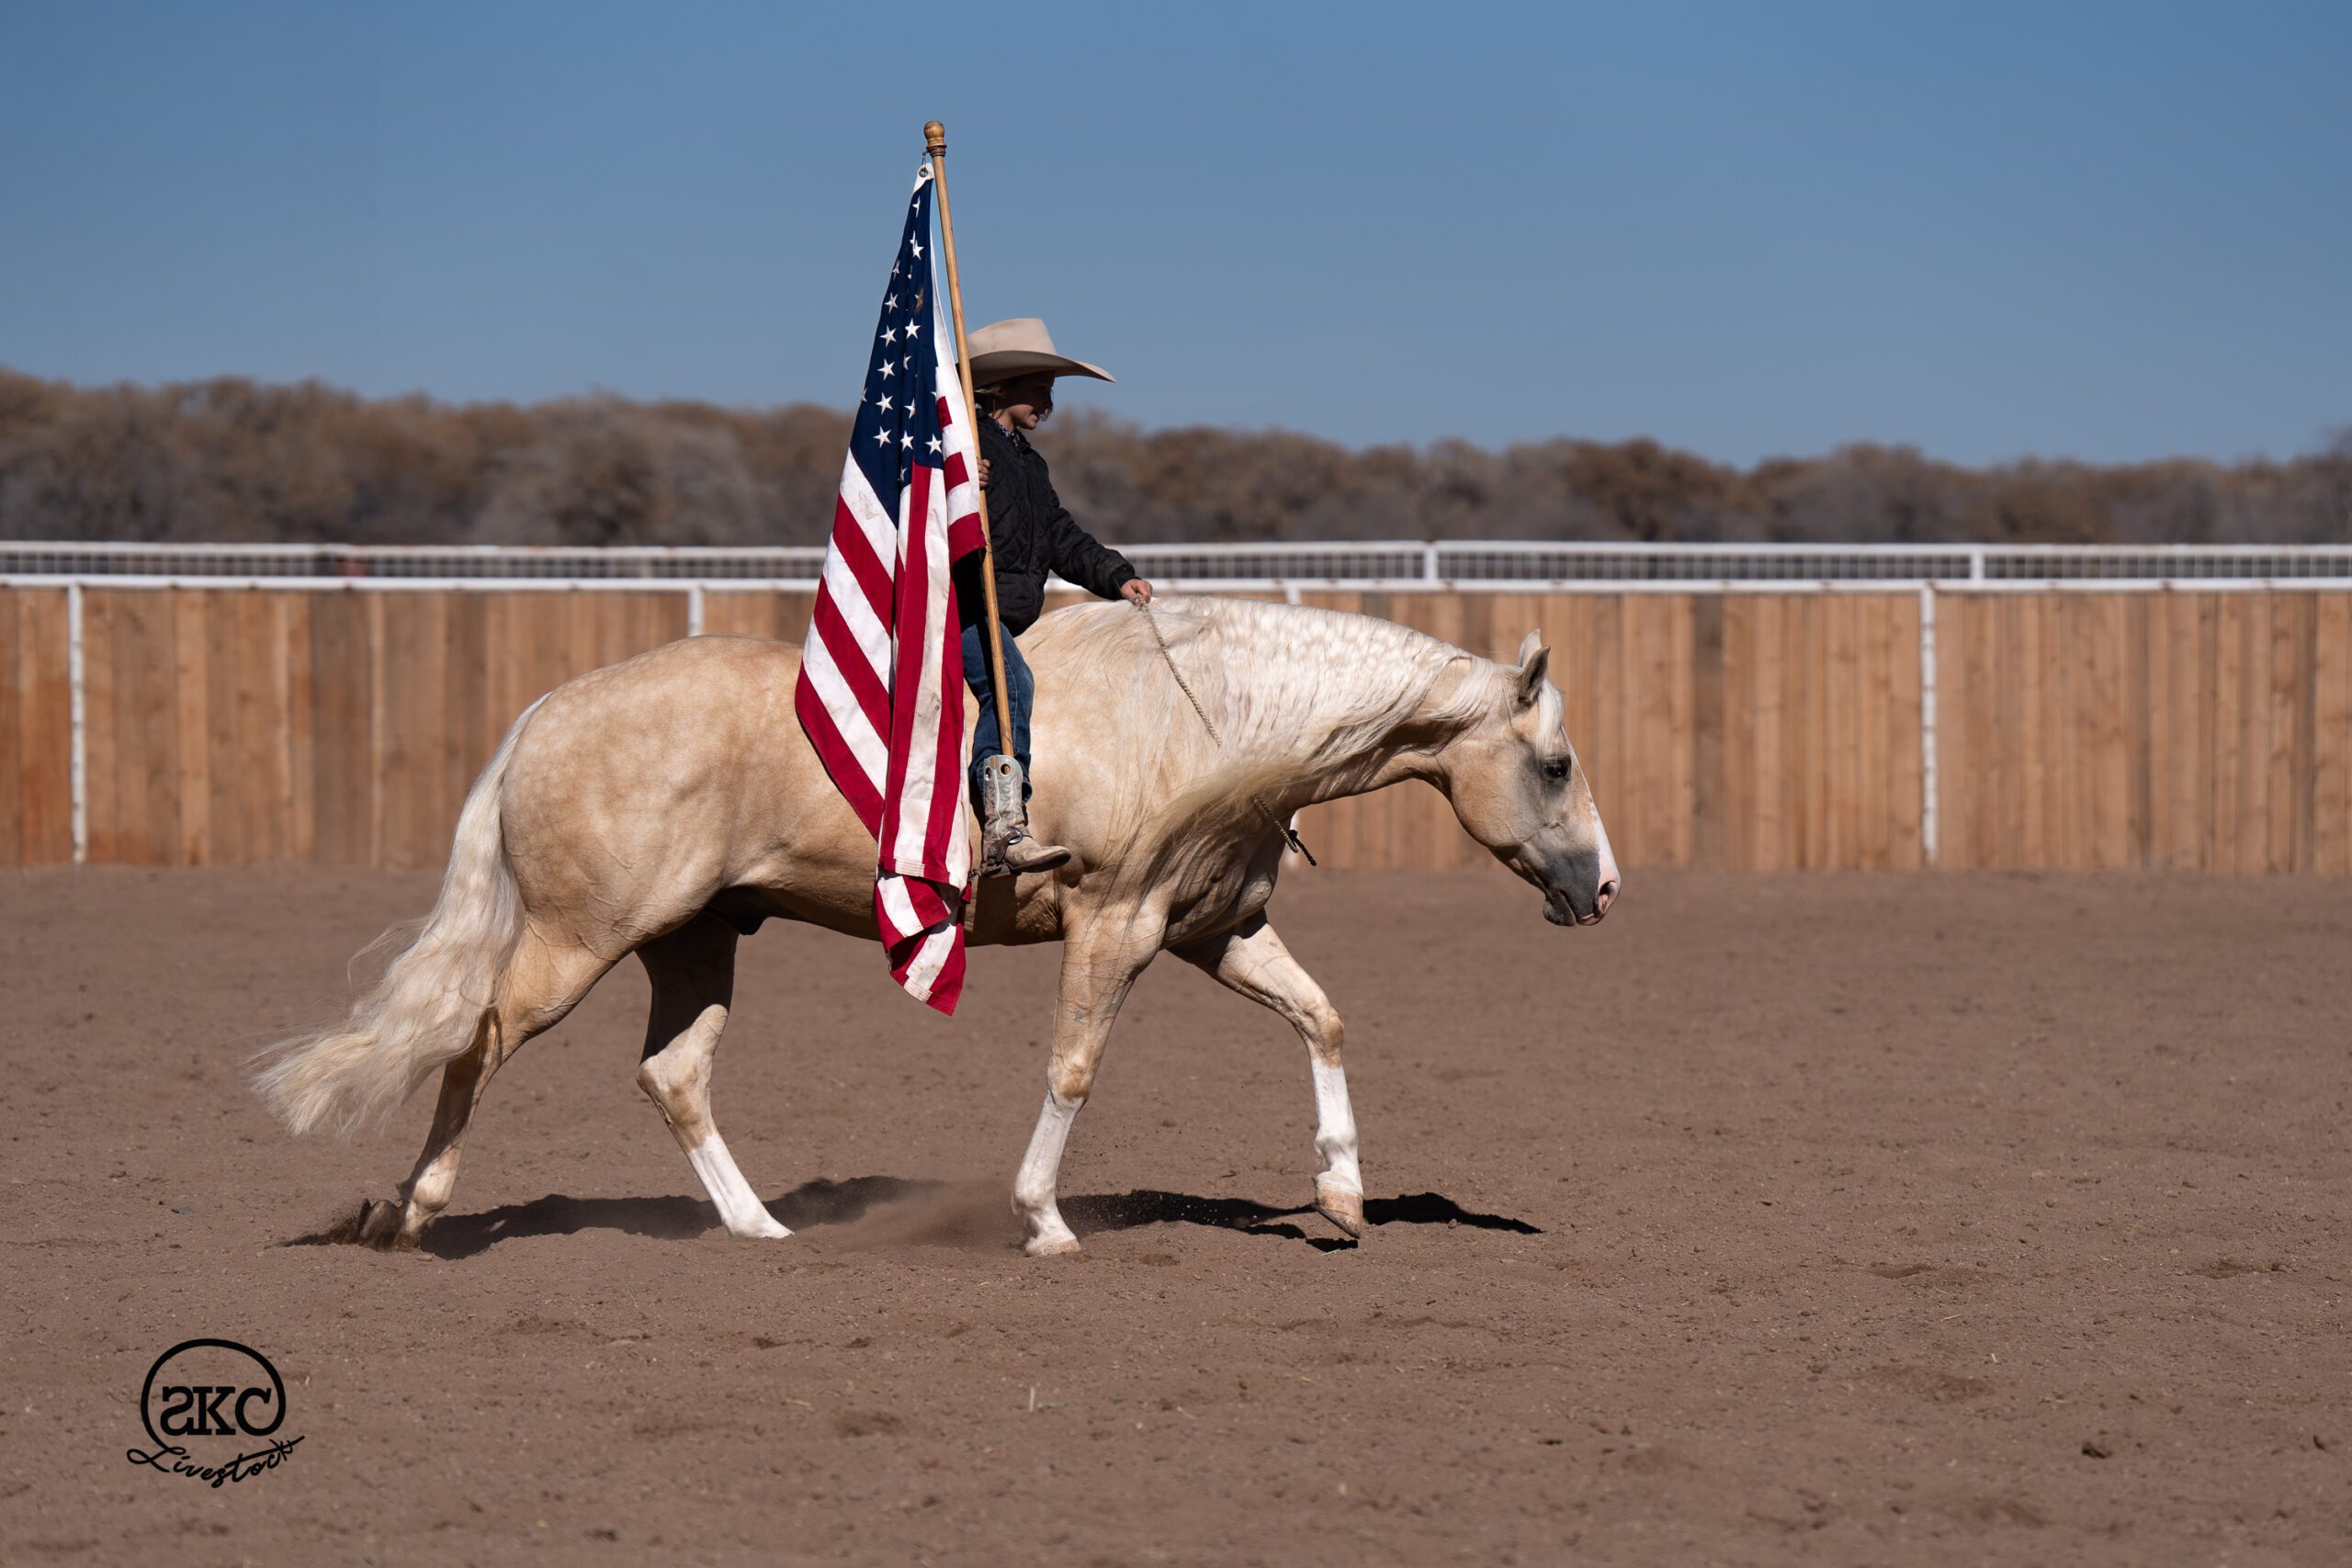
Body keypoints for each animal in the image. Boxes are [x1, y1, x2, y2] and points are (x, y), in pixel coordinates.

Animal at [256, 596, 1619, 1256]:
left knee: (671, 1073)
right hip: (574, 942)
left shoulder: (1211, 930)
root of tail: (547, 707)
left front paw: (1340, 1193)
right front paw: (1044, 1221)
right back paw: (413, 1213)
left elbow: (1323, 1019)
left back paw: (757, 1226)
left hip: (697, 941)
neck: (1202, 716)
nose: (1603, 890)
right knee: (475, 1042)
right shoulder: (1113, 929)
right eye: (1555, 764)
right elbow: (1073, 1068)